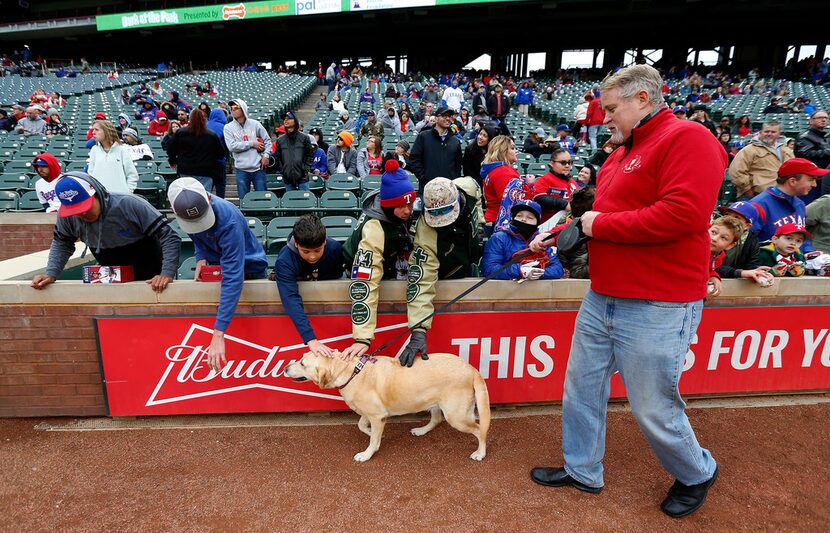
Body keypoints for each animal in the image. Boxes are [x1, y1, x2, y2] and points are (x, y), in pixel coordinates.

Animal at [288, 352, 490, 460]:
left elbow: (371, 441)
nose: (285, 368)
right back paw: (421, 430)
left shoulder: (377, 416)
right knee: (436, 419)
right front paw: (373, 434)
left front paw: (367, 453)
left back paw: (480, 453)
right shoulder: (372, 413)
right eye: (301, 358)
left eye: (302, 363)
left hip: (457, 416)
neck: (351, 371)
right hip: (435, 403)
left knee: (479, 430)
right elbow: (361, 425)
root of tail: (471, 368)